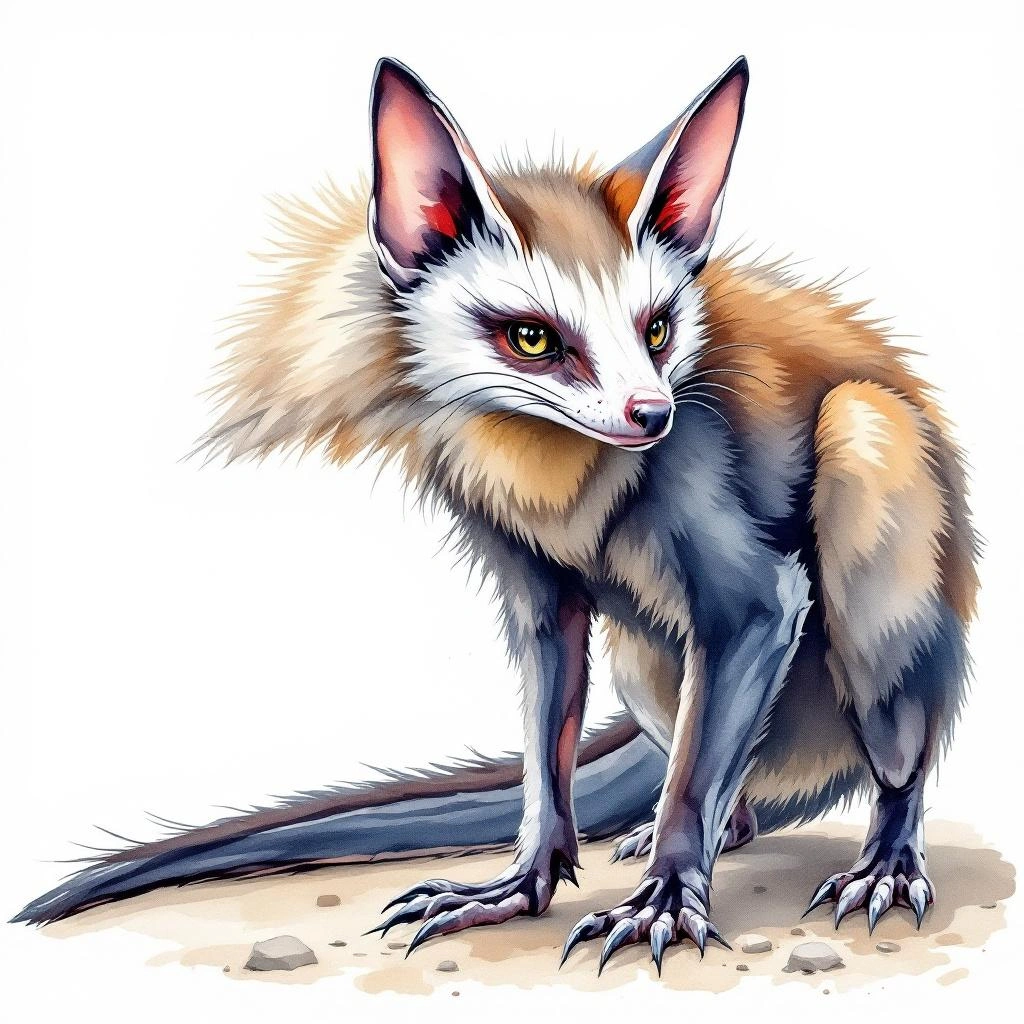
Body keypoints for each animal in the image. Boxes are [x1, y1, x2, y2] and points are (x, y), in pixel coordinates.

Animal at [14, 55, 979, 976]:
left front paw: (664, 901)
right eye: (533, 338)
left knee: (886, 731)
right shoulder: (529, 579)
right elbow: (545, 742)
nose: (652, 415)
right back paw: (711, 829)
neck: (558, 486)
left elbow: (735, 667)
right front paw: (520, 885)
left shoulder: (750, 582)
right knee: (717, 775)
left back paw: (883, 862)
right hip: (646, 664)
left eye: (658, 329)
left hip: (871, 464)